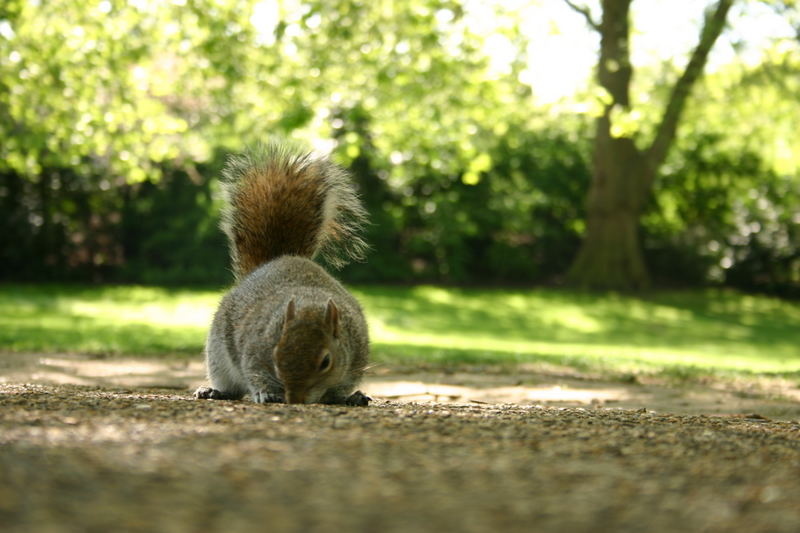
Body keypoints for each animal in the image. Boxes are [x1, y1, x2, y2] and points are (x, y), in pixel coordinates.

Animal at [194, 139, 372, 406]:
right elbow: (255, 374)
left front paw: (347, 397)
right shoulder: (254, 352)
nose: (294, 398)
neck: (310, 305)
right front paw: (266, 393)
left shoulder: (355, 357)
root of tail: (279, 259)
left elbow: (341, 387)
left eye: (326, 362)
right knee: (229, 384)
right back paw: (215, 391)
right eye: (277, 353)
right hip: (217, 354)